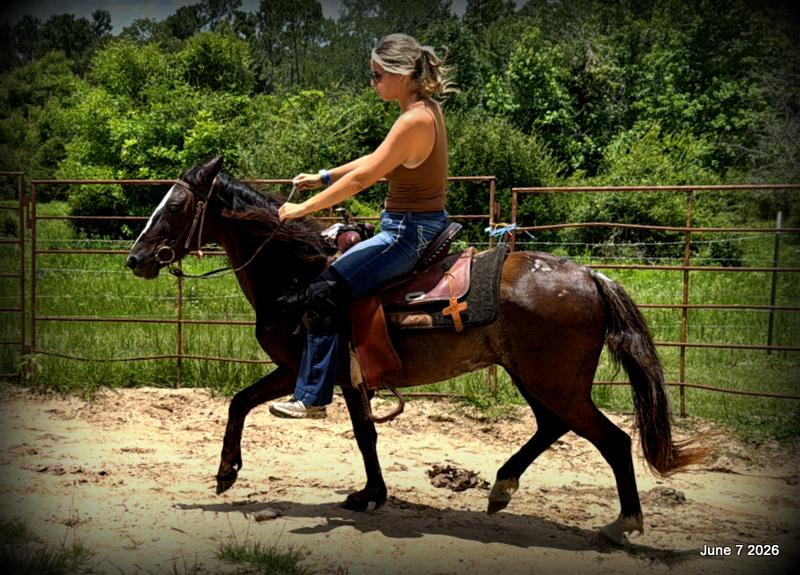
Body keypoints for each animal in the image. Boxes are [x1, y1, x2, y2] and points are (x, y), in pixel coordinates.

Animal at [126, 156, 705, 544]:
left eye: (176, 206)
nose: (135, 260)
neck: (298, 273)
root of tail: (590, 276)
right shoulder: (343, 376)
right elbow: (355, 433)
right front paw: (368, 494)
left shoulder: (301, 368)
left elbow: (250, 403)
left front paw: (228, 472)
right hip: (534, 377)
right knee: (552, 427)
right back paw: (502, 488)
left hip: (554, 382)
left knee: (612, 440)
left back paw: (622, 523)